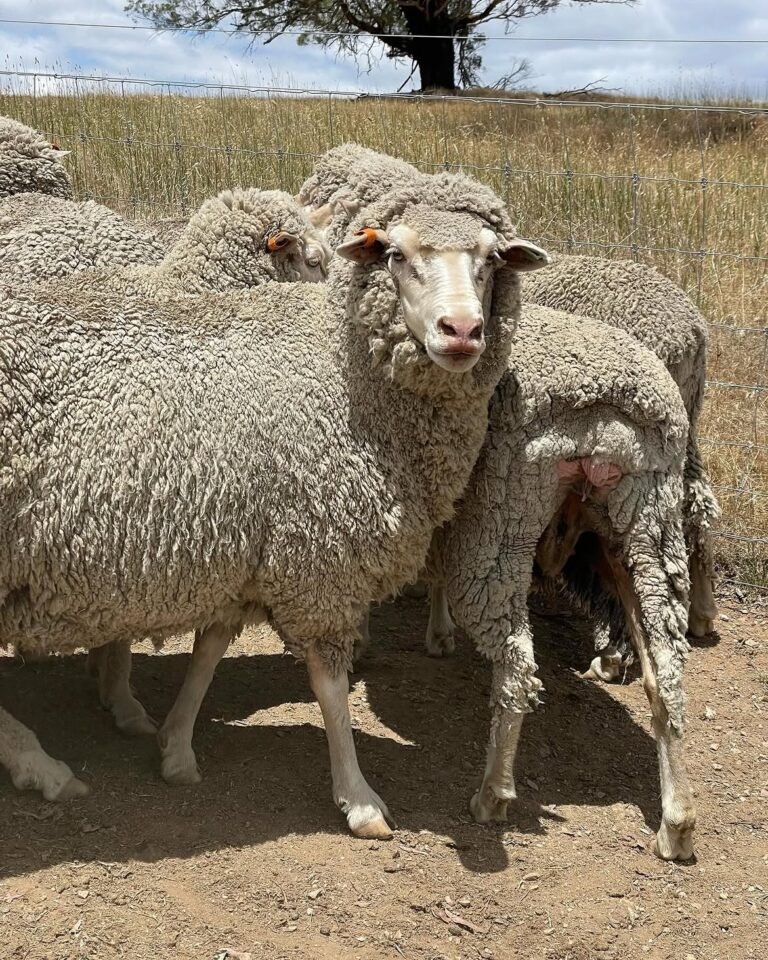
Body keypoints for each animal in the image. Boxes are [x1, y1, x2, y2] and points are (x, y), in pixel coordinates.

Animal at [0, 171, 550, 838]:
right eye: (395, 255)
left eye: (492, 260)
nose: (462, 332)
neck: (340, 377)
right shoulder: (320, 562)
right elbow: (330, 689)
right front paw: (358, 797)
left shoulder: (247, 548)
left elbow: (209, 650)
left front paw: (176, 748)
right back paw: (42, 765)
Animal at [424, 302, 696, 860]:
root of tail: (606, 404)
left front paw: (434, 633)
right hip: (647, 527)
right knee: (667, 673)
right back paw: (677, 822)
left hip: (500, 518)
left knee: (516, 665)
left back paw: (492, 795)